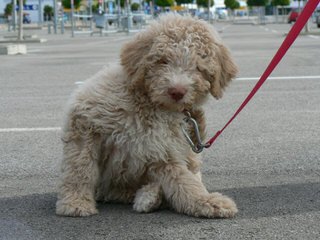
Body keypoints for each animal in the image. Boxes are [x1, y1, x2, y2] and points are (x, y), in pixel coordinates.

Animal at [56, 14, 239, 218]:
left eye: (198, 67)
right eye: (163, 61)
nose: (177, 91)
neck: (151, 105)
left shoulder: (165, 150)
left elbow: (184, 181)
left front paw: (206, 201)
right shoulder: (86, 116)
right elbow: (80, 166)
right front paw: (75, 202)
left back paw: (149, 195)